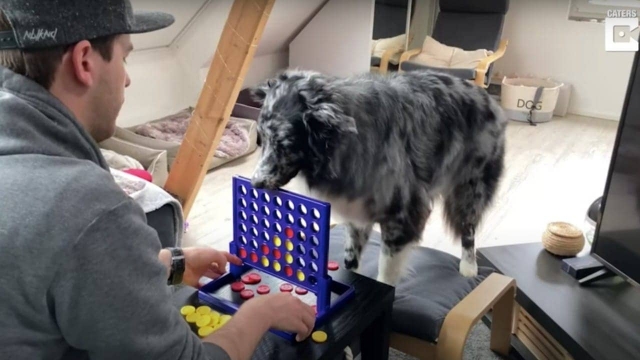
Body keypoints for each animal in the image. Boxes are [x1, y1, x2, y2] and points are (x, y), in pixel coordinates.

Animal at [249, 69, 504, 286]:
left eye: (285, 145)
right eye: (261, 139)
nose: (255, 184)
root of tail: (488, 98)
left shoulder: (403, 217)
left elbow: (386, 274)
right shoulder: (356, 211)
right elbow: (351, 258)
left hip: (470, 189)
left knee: (468, 230)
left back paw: (468, 267)